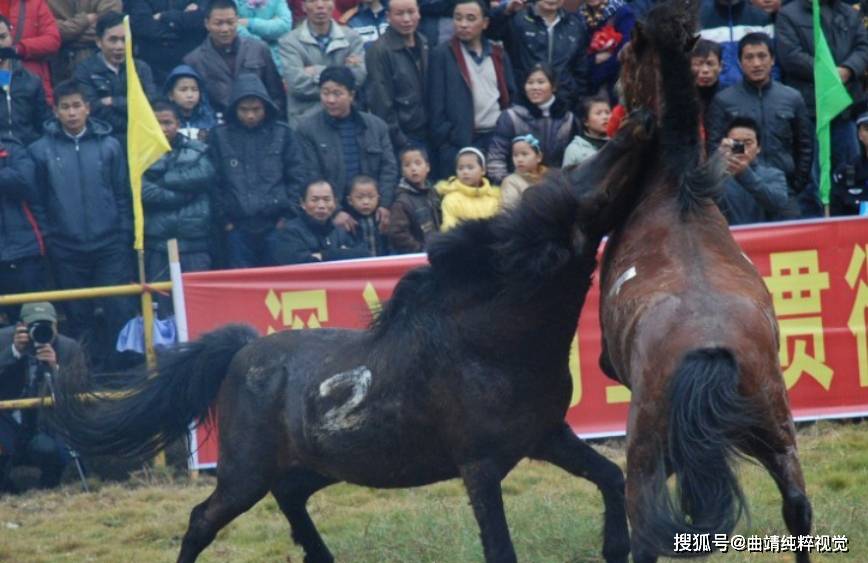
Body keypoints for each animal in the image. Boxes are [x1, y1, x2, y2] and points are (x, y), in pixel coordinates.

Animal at [600, 2, 812, 560]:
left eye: (628, 57)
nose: (615, 96)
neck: (678, 194)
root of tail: (711, 347)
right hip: (778, 432)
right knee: (798, 508)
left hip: (645, 454)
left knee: (647, 530)